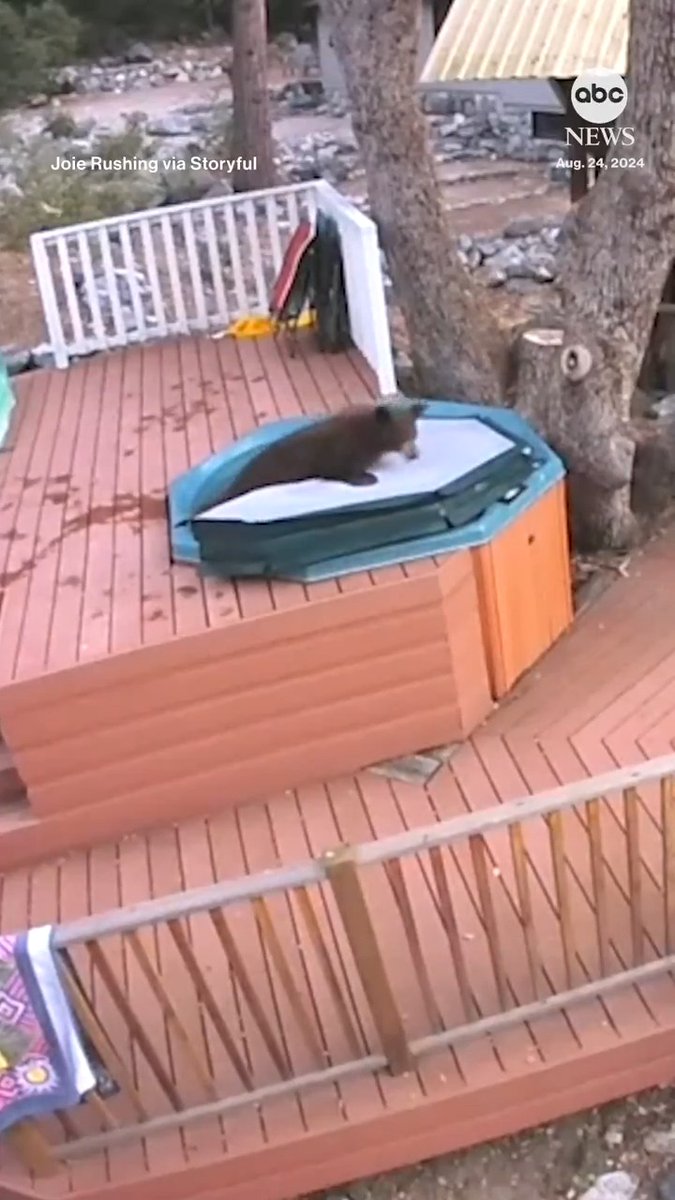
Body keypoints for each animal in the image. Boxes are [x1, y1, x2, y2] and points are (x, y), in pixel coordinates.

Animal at [214, 400, 427, 504]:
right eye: (402, 436)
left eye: (414, 433)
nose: (414, 454)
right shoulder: (341, 450)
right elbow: (337, 470)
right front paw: (367, 478)